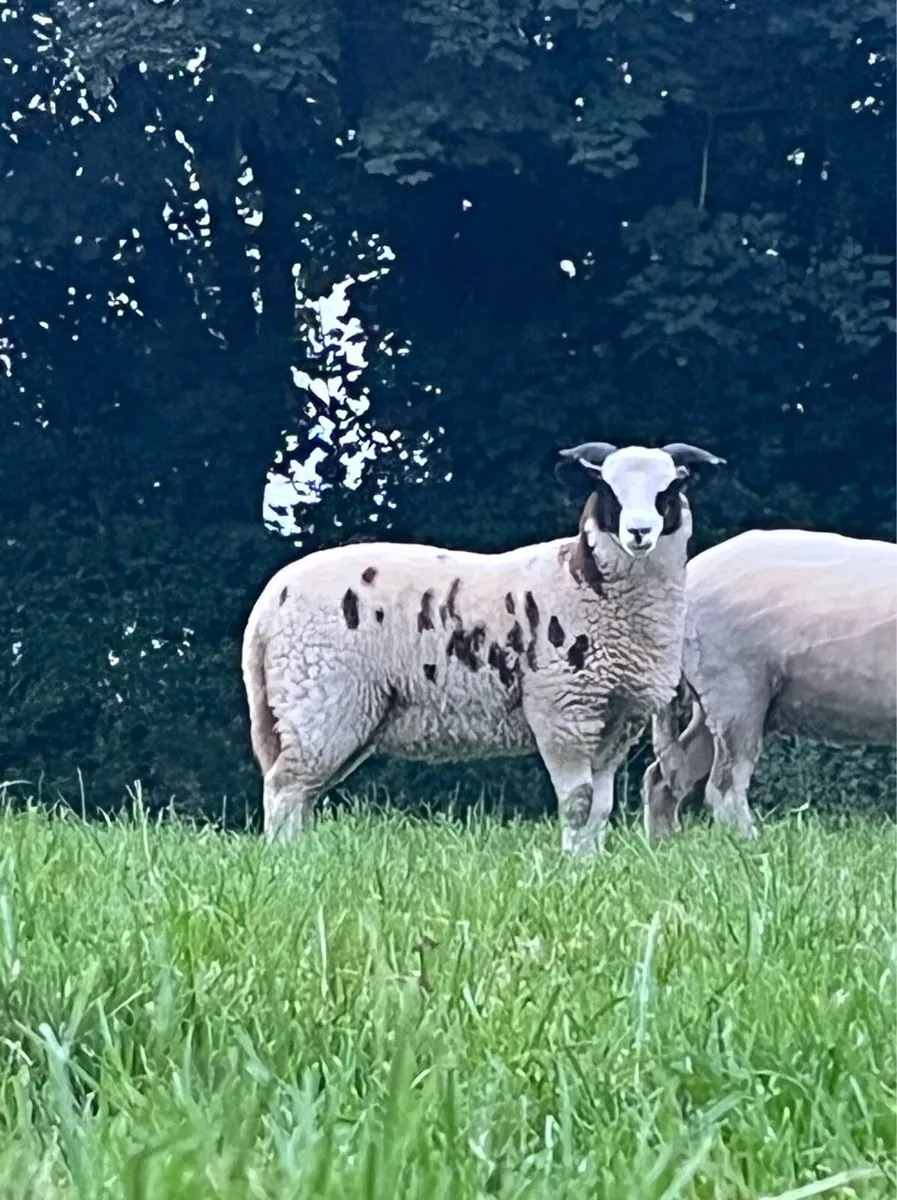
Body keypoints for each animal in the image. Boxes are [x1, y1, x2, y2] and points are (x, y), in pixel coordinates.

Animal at [242, 441, 725, 854]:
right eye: (607, 489)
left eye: (670, 489)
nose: (639, 532)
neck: (584, 582)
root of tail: (267, 605)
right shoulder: (562, 713)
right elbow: (579, 803)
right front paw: (572, 869)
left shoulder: (614, 721)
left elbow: (601, 808)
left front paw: (591, 865)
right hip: (320, 699)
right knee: (285, 788)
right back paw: (285, 861)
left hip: (342, 715)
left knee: (302, 793)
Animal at [641, 528, 897, 840]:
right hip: (736, 689)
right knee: (724, 786)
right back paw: (751, 841)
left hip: (710, 699)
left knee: (662, 777)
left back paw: (663, 843)